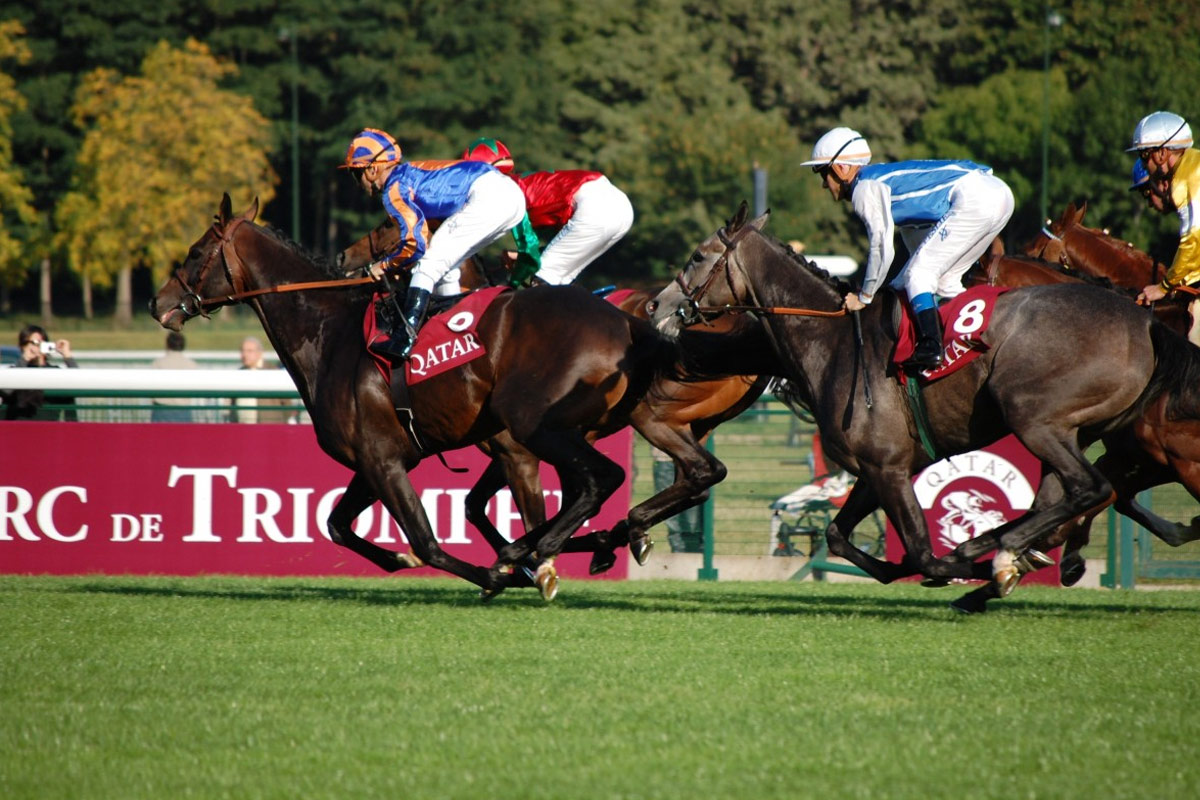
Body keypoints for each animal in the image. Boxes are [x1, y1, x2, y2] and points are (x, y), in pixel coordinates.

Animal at [152, 195, 700, 599]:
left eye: (195, 253)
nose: (159, 303)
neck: (330, 331)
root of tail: (629, 323)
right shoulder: (377, 458)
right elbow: (337, 524)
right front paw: (402, 557)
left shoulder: (391, 459)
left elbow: (427, 539)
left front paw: (500, 574)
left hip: (536, 424)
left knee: (601, 478)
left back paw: (534, 551)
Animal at [338, 215, 768, 573]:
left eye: (387, 224)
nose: (344, 255)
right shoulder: (525, 445)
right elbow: (477, 506)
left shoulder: (520, 449)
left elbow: (528, 510)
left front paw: (533, 561)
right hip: (691, 424)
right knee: (696, 482)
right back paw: (625, 534)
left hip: (652, 415)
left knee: (694, 475)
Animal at [648, 200, 1190, 599]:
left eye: (697, 256)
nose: (656, 305)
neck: (834, 340)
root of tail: (1144, 322)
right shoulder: (878, 468)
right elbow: (840, 535)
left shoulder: (886, 467)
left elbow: (922, 551)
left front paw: (965, 564)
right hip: (1072, 431)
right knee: (1074, 495)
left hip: (1036, 420)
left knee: (1091, 487)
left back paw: (1001, 549)